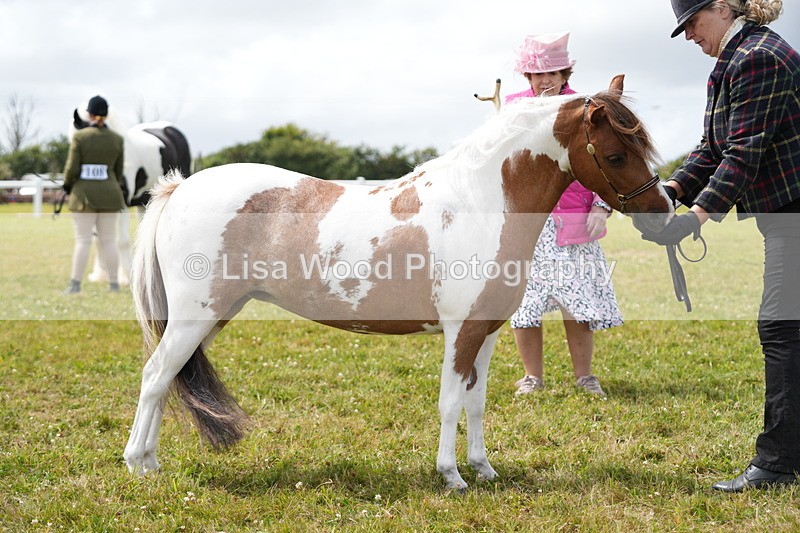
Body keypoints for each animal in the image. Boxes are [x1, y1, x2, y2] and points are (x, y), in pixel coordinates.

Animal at [70, 107, 192, 285]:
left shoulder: (122, 204)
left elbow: (121, 241)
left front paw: (124, 278)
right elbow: (98, 239)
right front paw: (100, 275)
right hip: (144, 202)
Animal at [123, 75, 673, 491]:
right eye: (616, 155)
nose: (663, 212)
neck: (480, 202)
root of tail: (180, 188)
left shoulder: (487, 331)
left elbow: (476, 402)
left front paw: (484, 469)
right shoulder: (460, 331)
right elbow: (450, 401)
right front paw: (452, 476)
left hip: (213, 317)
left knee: (168, 377)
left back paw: (149, 460)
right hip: (193, 318)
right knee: (155, 376)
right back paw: (139, 464)